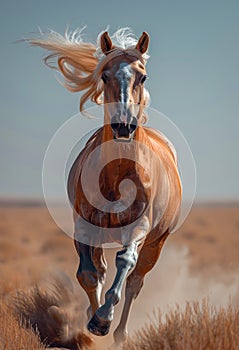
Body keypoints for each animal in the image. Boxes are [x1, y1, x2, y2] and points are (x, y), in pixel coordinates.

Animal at [27, 28, 181, 344]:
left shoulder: (140, 227)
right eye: (105, 75)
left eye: (142, 76)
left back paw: (120, 333)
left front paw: (103, 319)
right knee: (101, 270)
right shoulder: (85, 225)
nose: (124, 126)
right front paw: (92, 319)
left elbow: (125, 261)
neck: (118, 172)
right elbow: (88, 274)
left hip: (156, 243)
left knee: (135, 281)